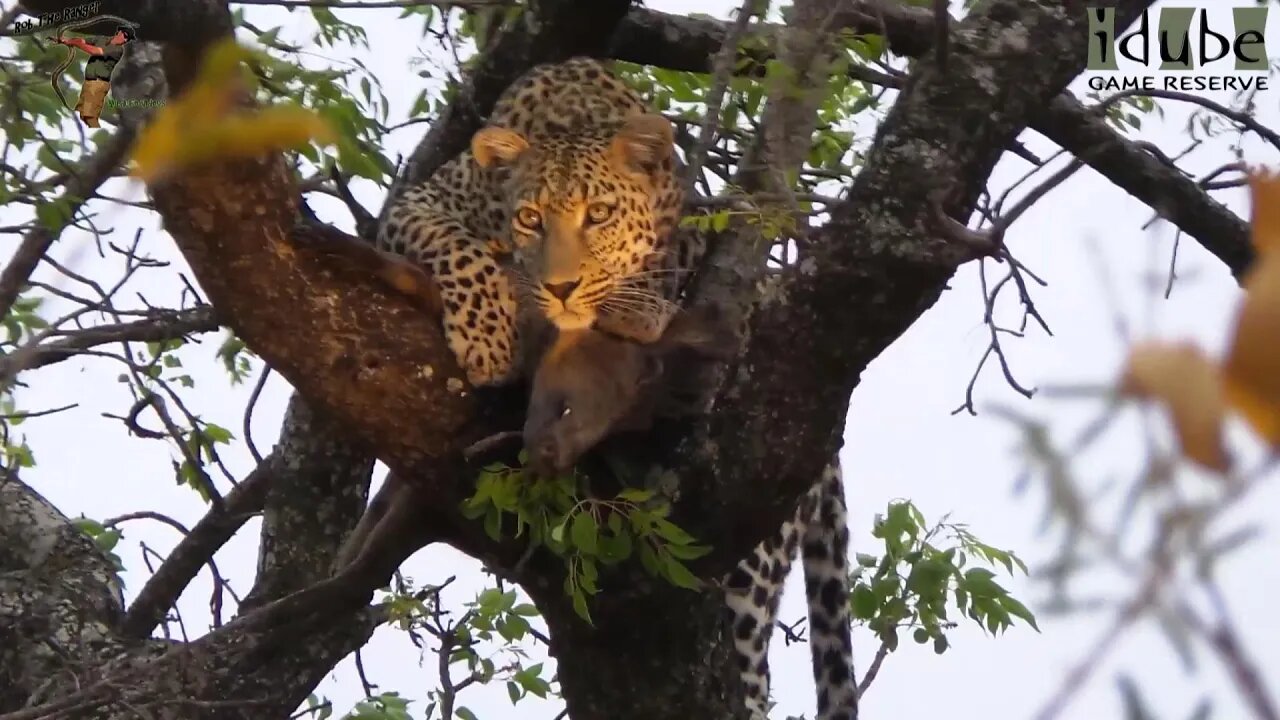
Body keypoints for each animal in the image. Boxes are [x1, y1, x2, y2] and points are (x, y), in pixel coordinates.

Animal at [378, 57, 860, 717]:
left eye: (600, 215)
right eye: (530, 218)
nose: (560, 288)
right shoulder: (419, 201)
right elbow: (453, 243)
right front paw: (487, 334)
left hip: (754, 560)